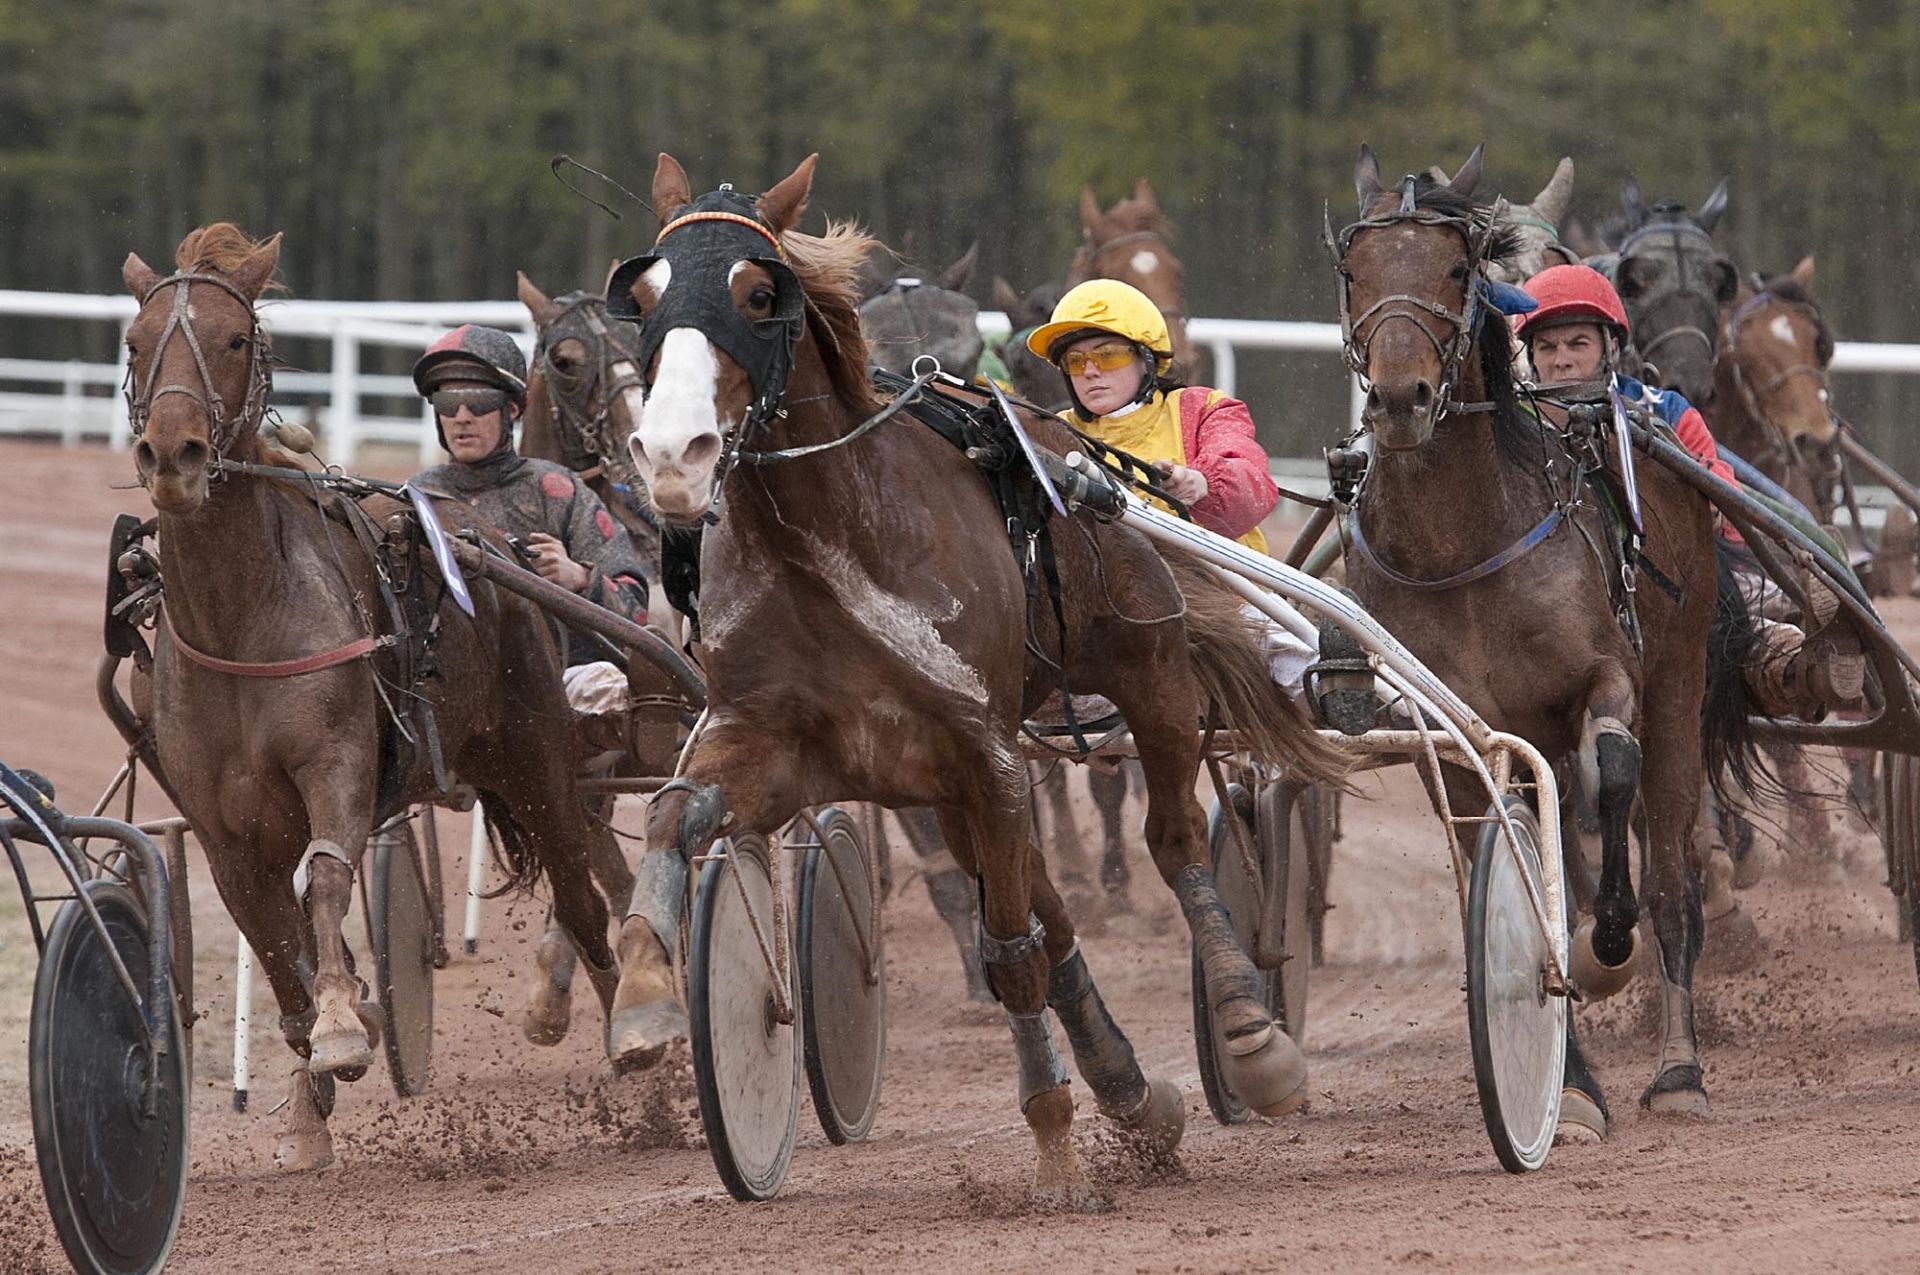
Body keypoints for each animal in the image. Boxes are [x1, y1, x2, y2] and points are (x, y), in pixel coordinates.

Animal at [118, 226, 622, 1167]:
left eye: (234, 339)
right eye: (134, 342)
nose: (172, 456)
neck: (242, 616)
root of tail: (484, 541)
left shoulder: (339, 764)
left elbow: (323, 878)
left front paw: (347, 1025)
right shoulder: (220, 827)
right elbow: (271, 941)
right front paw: (310, 1096)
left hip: (541, 758)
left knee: (584, 898)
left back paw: (648, 1039)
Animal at [1336, 149, 1758, 1136]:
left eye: (1458, 268)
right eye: (1353, 271)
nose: (1401, 397)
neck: (1460, 546)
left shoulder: (1607, 677)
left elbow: (1612, 773)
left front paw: (1606, 946)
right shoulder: (1447, 728)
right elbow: (1505, 873)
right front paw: (1568, 1085)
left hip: (1678, 675)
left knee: (1668, 863)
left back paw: (1678, 1066)